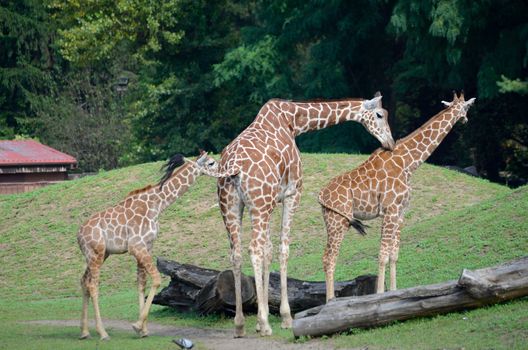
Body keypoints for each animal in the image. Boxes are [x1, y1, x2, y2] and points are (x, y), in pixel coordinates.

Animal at [76, 150, 217, 340]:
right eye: (211, 163)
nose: (225, 172)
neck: (157, 206)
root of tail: (79, 234)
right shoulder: (137, 246)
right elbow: (156, 279)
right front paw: (137, 326)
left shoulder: (146, 245)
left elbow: (141, 283)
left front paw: (143, 330)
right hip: (96, 253)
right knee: (93, 285)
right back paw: (103, 333)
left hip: (99, 254)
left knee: (84, 281)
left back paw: (84, 332)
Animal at [217, 92, 394, 336]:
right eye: (379, 115)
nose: (390, 143)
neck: (293, 122)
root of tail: (232, 168)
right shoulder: (292, 193)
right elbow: (283, 249)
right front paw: (284, 317)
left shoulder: (273, 200)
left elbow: (269, 250)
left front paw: (265, 317)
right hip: (258, 205)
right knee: (253, 249)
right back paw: (264, 324)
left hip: (231, 207)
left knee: (236, 254)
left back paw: (240, 324)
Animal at [320, 91, 476, 300]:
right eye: (466, 107)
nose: (466, 120)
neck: (409, 163)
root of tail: (320, 195)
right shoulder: (390, 209)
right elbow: (383, 255)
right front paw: (379, 294)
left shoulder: (401, 212)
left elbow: (394, 254)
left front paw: (394, 292)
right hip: (337, 221)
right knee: (329, 258)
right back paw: (330, 301)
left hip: (334, 220)